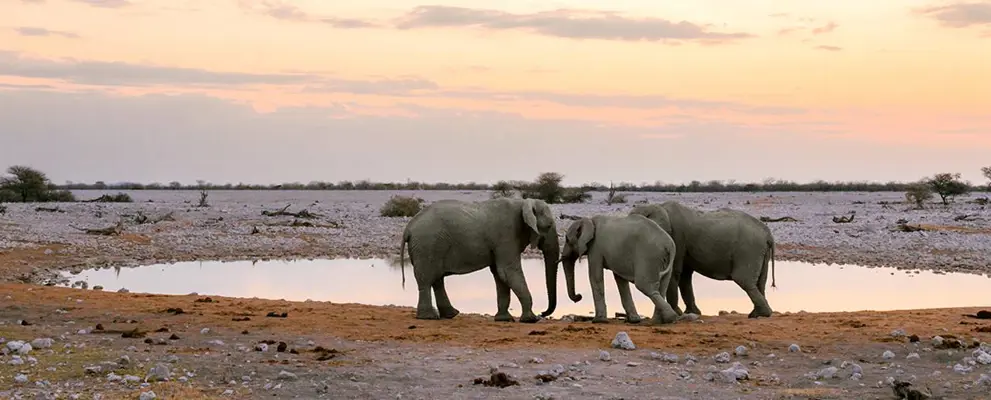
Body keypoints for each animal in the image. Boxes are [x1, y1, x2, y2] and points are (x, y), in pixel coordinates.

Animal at [398, 197, 561, 323]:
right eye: (548, 226)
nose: (542, 313)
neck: (523, 203)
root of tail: (408, 228)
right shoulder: (506, 235)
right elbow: (507, 272)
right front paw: (530, 320)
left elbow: (500, 274)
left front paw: (504, 320)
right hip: (427, 245)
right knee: (427, 280)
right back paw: (429, 317)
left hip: (428, 246)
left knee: (437, 279)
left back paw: (450, 315)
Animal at [629, 201, 776, 318]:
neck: (658, 206)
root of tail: (768, 234)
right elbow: (685, 276)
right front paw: (691, 313)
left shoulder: (677, 237)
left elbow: (675, 273)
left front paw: (678, 313)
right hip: (760, 252)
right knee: (760, 282)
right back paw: (758, 314)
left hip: (749, 250)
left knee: (744, 280)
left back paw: (761, 314)